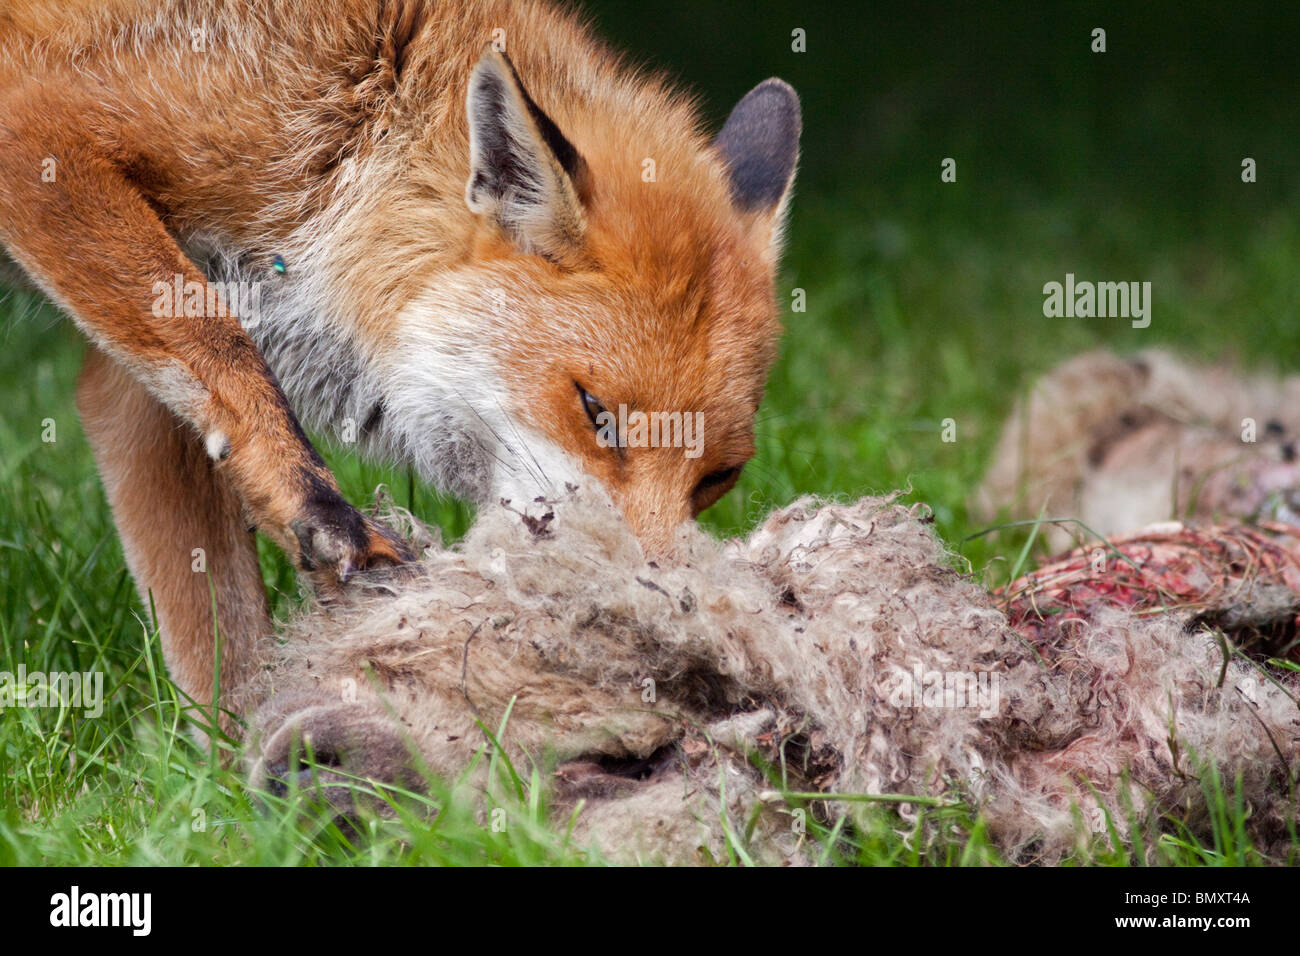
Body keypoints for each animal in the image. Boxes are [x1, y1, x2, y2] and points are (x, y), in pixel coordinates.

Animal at [0, 0, 801, 715]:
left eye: (720, 476)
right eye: (595, 414)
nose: (662, 617)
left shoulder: (133, 392)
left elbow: (221, 637)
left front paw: (253, 767)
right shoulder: (39, 127)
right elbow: (224, 351)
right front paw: (323, 514)